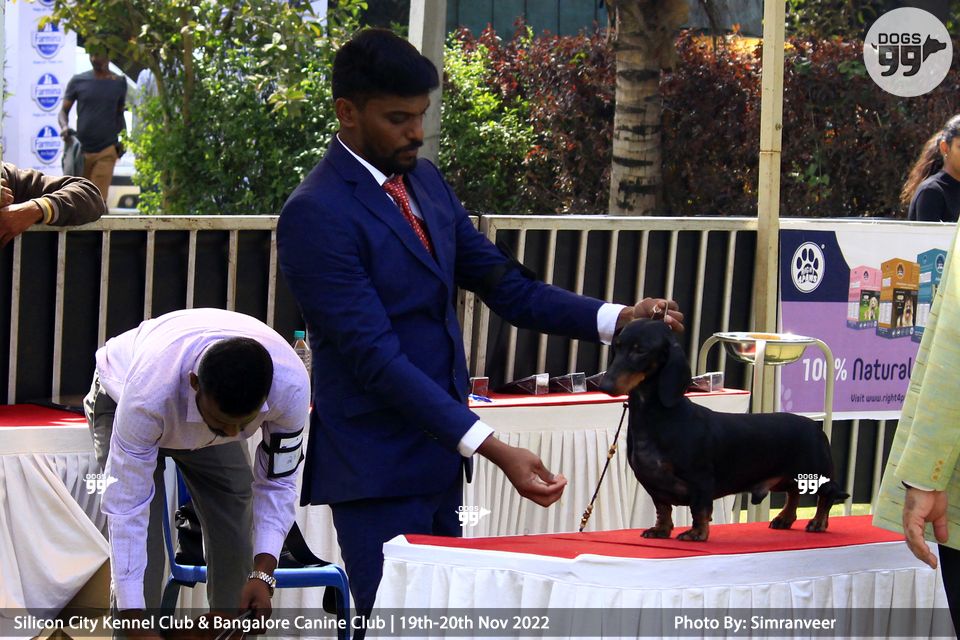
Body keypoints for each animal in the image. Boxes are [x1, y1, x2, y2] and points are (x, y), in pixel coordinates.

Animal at [599, 319, 849, 541]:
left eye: (640, 350)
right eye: (617, 346)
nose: (605, 385)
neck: (658, 417)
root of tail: (814, 427)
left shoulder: (701, 480)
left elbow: (700, 509)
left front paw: (697, 534)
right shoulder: (653, 485)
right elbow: (663, 509)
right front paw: (660, 530)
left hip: (815, 473)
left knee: (827, 494)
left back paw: (818, 522)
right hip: (789, 477)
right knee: (794, 492)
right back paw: (784, 519)